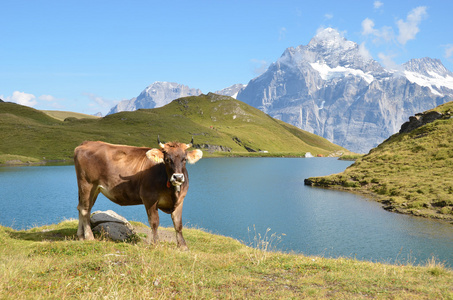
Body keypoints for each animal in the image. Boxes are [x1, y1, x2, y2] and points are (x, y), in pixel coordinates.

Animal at [73, 137, 201, 250]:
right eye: (167, 159)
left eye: (184, 159)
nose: (178, 177)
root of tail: (87, 143)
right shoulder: (149, 198)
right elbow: (154, 222)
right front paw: (155, 244)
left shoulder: (180, 200)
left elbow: (178, 224)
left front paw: (183, 246)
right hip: (87, 184)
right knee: (85, 209)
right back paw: (89, 237)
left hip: (94, 189)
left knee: (82, 207)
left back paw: (80, 236)